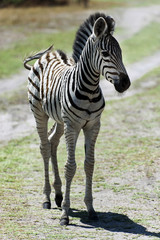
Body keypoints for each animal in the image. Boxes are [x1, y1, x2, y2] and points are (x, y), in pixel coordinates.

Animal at [24, 12, 131, 226]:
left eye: (120, 52)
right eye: (105, 54)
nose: (125, 84)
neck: (89, 90)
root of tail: (47, 55)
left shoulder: (93, 125)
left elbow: (89, 164)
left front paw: (90, 209)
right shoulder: (72, 126)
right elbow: (70, 167)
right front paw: (65, 214)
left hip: (59, 120)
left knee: (52, 142)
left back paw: (57, 194)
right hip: (40, 113)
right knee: (44, 147)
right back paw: (47, 198)